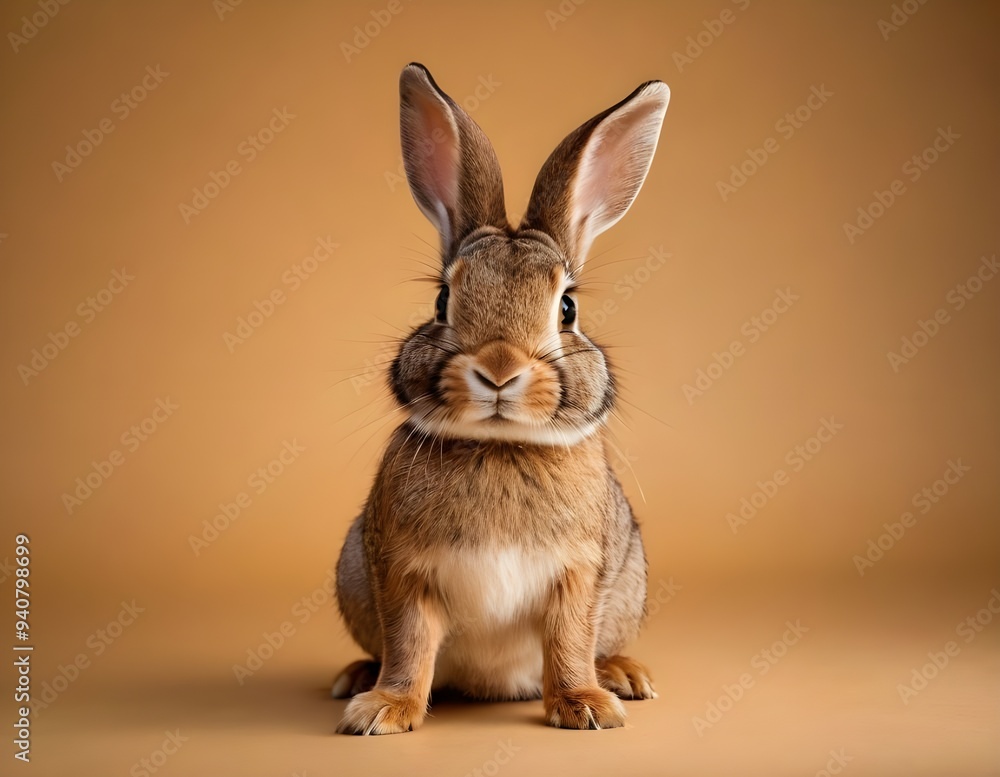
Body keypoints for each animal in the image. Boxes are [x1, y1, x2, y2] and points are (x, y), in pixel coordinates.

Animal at [333, 62, 669, 735]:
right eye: (441, 301)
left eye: (567, 309)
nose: (498, 369)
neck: (500, 445)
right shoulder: (402, 574)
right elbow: (409, 643)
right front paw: (383, 711)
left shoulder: (578, 575)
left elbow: (568, 640)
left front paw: (587, 708)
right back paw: (354, 678)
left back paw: (622, 676)